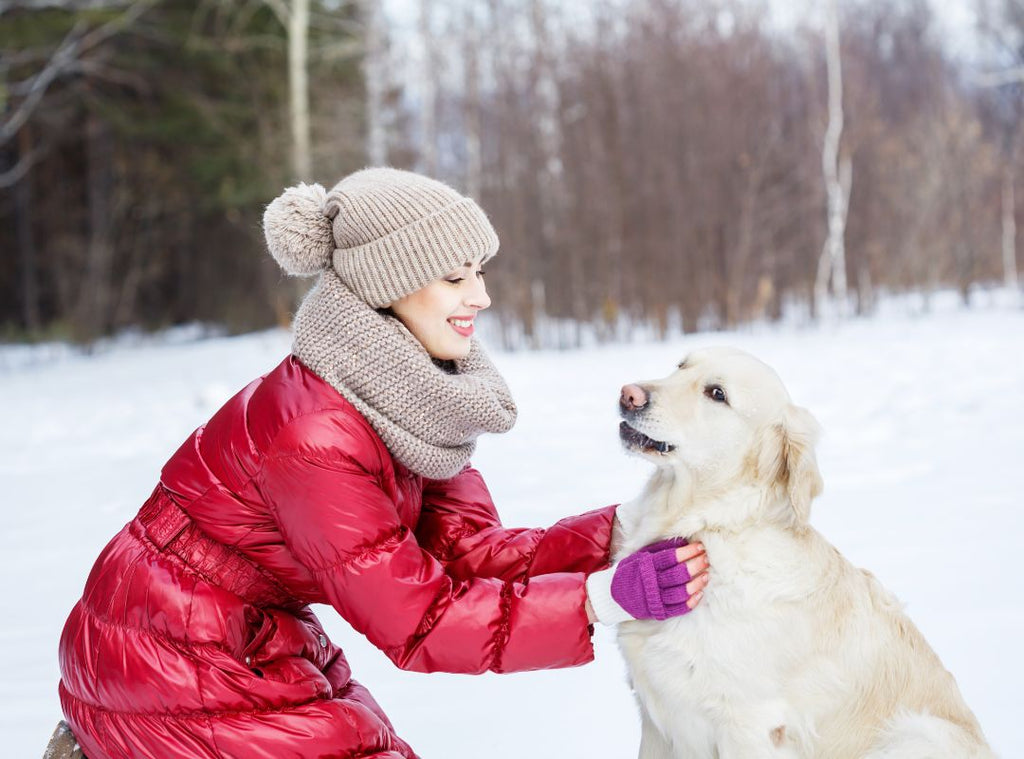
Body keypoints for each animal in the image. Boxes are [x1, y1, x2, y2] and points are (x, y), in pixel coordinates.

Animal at [606, 346, 991, 753]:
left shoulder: (748, 723)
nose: (628, 394)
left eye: (717, 394)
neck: (713, 524)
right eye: (681, 365)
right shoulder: (656, 723)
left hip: (916, 731)